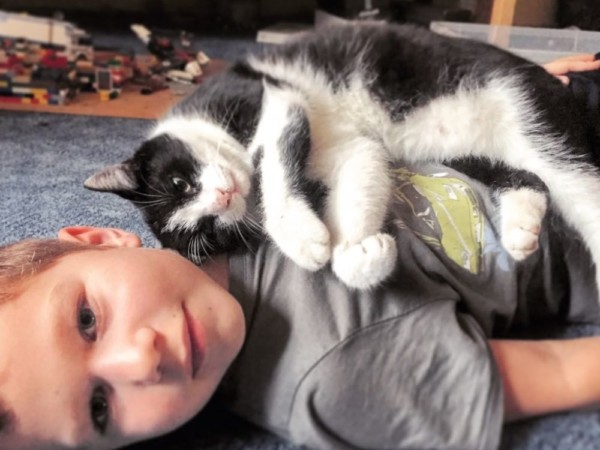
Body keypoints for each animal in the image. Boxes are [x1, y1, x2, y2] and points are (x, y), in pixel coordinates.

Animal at [85, 22, 598, 290]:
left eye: (179, 182)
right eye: (207, 233)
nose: (223, 198)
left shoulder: (269, 95)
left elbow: (272, 167)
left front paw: (301, 237)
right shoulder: (345, 146)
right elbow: (360, 173)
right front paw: (358, 254)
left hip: (526, 113)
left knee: (580, 188)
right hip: (463, 150)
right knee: (529, 177)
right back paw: (522, 230)